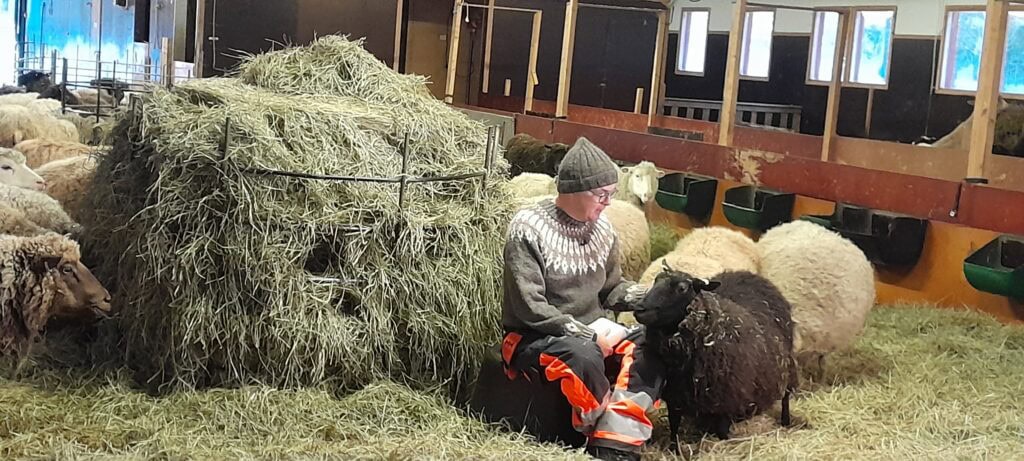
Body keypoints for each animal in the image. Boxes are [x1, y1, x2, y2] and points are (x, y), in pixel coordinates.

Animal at [615, 265, 797, 444]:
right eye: (656, 280)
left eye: (682, 288)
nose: (639, 309)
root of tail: (749, 274)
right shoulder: (675, 396)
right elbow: (674, 428)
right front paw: (675, 448)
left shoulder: (726, 402)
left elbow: (722, 434)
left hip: (786, 366)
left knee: (786, 396)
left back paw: (786, 422)